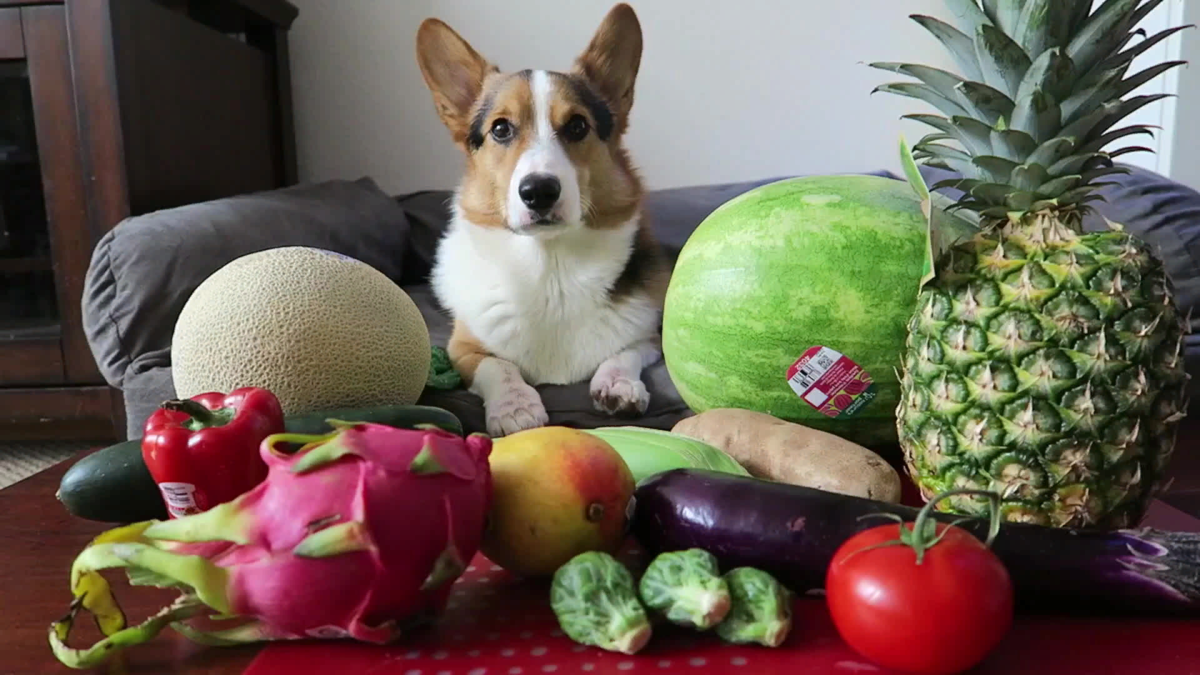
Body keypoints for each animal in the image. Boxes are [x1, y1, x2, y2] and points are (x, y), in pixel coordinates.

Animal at [417, 3, 672, 437]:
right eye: (501, 128)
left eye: (578, 126)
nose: (539, 191)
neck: (551, 268)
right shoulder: (461, 349)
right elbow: (497, 366)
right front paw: (515, 406)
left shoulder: (648, 336)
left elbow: (625, 352)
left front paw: (619, 385)